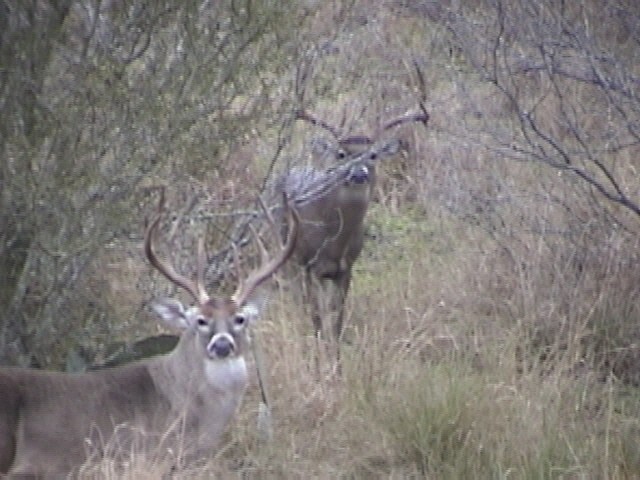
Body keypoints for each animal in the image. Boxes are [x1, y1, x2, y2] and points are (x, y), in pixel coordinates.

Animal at [276, 105, 430, 360]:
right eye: (342, 154)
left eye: (373, 155)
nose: (358, 174)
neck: (334, 241)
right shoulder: (310, 265)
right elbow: (317, 317)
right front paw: (319, 360)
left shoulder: (346, 268)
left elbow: (337, 319)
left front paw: (336, 360)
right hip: (284, 249)